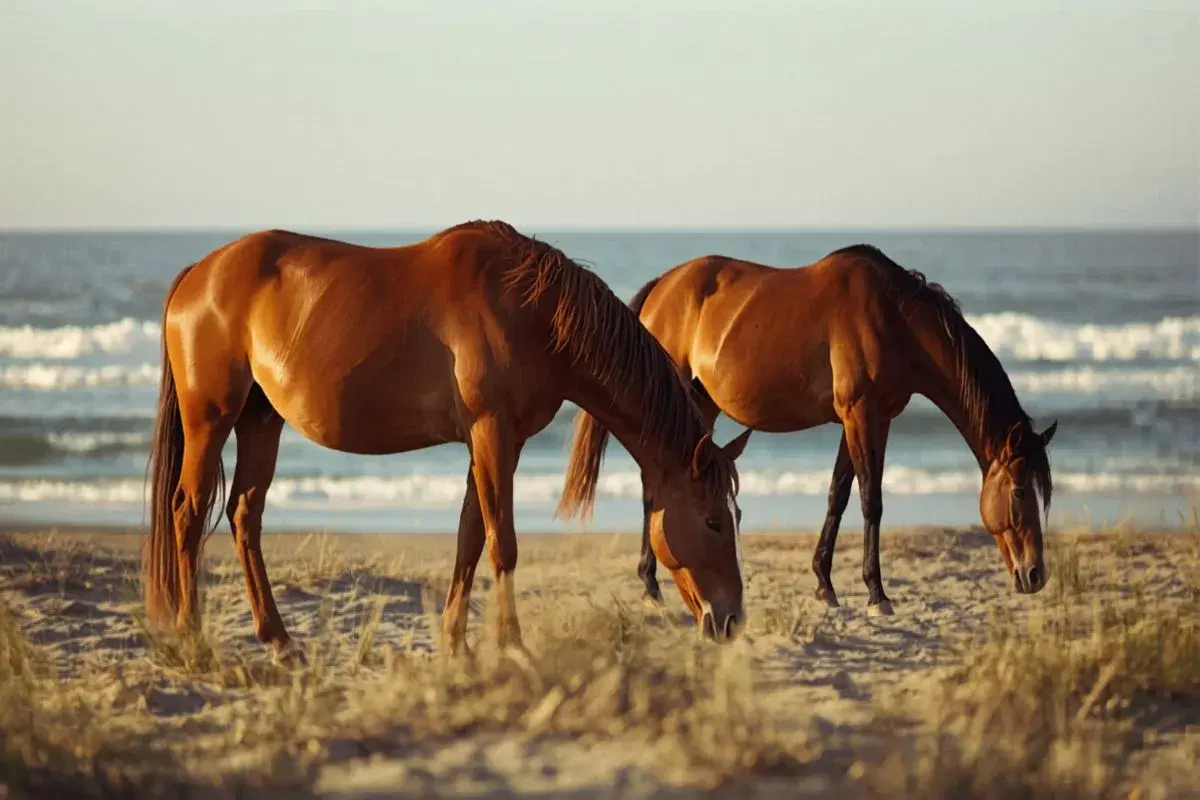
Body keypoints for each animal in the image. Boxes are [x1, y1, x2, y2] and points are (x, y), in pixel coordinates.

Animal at [141, 220, 753, 661]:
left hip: (261, 421)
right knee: (188, 511)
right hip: (210, 420)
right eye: (713, 522)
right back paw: (193, 637)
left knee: (245, 515)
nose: (730, 621)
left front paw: (457, 644)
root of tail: (200, 273)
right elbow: (503, 543)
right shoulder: (491, 433)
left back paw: (280, 641)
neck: (529, 311)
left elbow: (469, 538)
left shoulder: (496, 443)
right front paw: (513, 645)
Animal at [604, 244, 1057, 616]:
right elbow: (871, 500)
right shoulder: (862, 415)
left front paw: (825, 585)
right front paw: (877, 594)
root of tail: (662, 287)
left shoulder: (869, 419)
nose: (1036, 574)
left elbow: (838, 495)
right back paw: (650, 584)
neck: (894, 318)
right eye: (1019, 491)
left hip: (702, 404)